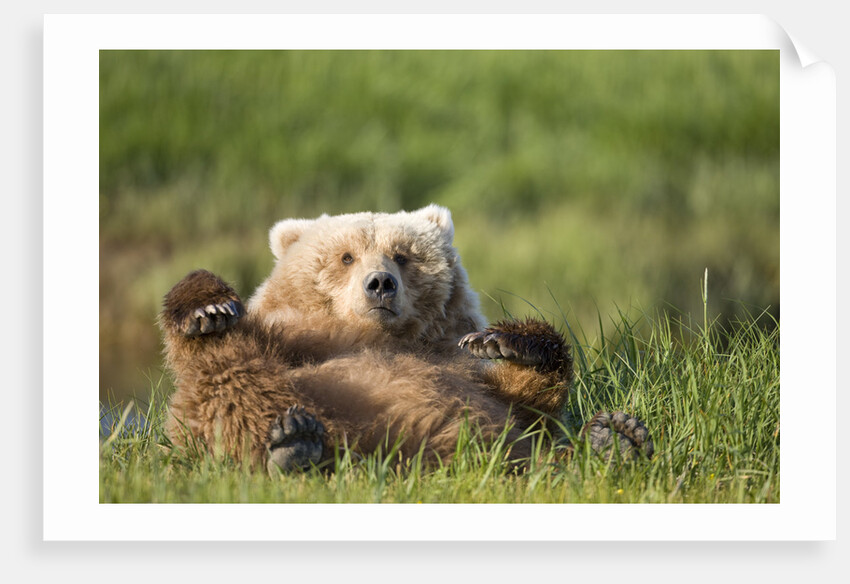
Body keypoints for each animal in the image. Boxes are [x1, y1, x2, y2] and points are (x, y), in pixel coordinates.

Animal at [159, 204, 652, 474]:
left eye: (402, 255)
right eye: (346, 256)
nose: (380, 283)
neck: (374, 337)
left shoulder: (455, 362)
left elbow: (529, 403)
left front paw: (503, 341)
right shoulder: (292, 339)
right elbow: (210, 378)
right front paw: (208, 308)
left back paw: (616, 439)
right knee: (233, 381)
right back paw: (296, 444)